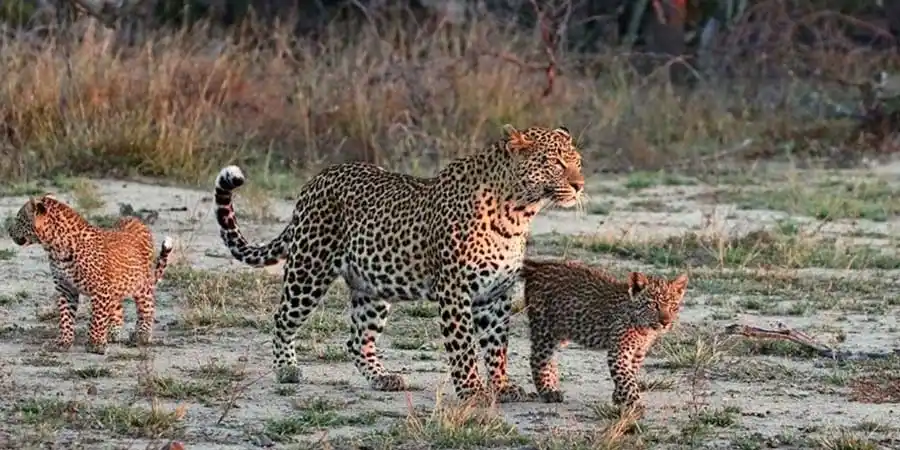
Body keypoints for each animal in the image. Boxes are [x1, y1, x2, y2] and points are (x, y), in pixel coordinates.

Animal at [8, 194, 175, 354]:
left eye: (19, 219)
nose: (9, 231)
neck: (55, 248)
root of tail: (135, 219)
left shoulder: (100, 289)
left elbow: (97, 317)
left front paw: (95, 344)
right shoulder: (66, 288)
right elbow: (65, 317)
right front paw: (63, 342)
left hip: (141, 283)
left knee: (147, 307)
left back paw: (141, 335)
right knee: (118, 309)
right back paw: (113, 333)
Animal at [213, 124, 585, 401]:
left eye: (578, 161)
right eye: (555, 162)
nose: (580, 185)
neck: (519, 212)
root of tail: (316, 180)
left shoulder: (496, 294)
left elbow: (497, 345)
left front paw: (503, 386)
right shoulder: (455, 291)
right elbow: (464, 346)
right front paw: (472, 391)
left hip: (373, 287)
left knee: (357, 340)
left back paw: (382, 378)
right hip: (309, 269)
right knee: (282, 318)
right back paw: (286, 369)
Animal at [520, 258, 688, 408]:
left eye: (673, 306)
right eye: (653, 305)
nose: (665, 322)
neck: (645, 329)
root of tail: (540, 266)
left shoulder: (638, 353)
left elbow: (630, 373)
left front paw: (618, 397)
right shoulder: (619, 351)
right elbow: (627, 379)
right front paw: (634, 403)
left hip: (560, 332)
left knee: (550, 358)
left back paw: (554, 385)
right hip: (544, 330)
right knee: (538, 359)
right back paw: (548, 391)